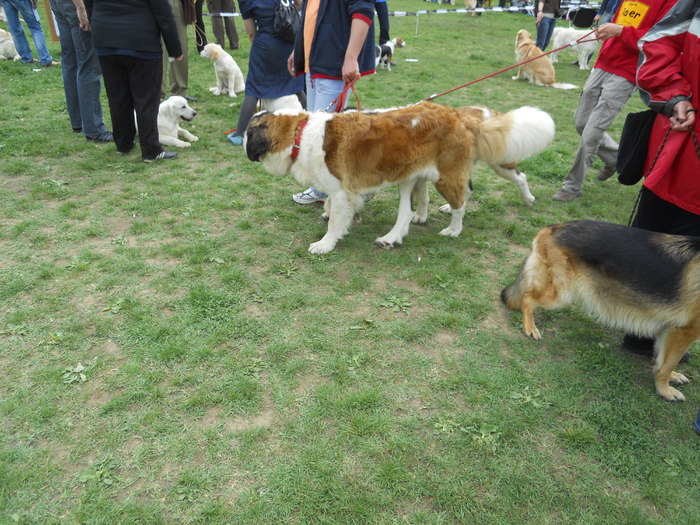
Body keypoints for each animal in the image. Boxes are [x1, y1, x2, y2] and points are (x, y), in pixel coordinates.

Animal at [243, 102, 556, 254]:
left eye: (248, 133)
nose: (240, 141)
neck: (298, 134)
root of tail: (458, 115)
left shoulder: (343, 191)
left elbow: (335, 220)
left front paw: (326, 243)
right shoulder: (343, 191)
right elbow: (333, 206)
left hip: (453, 173)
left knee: (467, 200)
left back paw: (456, 227)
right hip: (409, 176)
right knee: (410, 209)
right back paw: (394, 235)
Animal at [500, 220, 696, 402]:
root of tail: (552, 227)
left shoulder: (669, 328)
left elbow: (663, 358)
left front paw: (671, 377)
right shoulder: (685, 332)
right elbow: (668, 364)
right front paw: (665, 390)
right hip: (560, 295)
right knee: (527, 298)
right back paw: (530, 327)